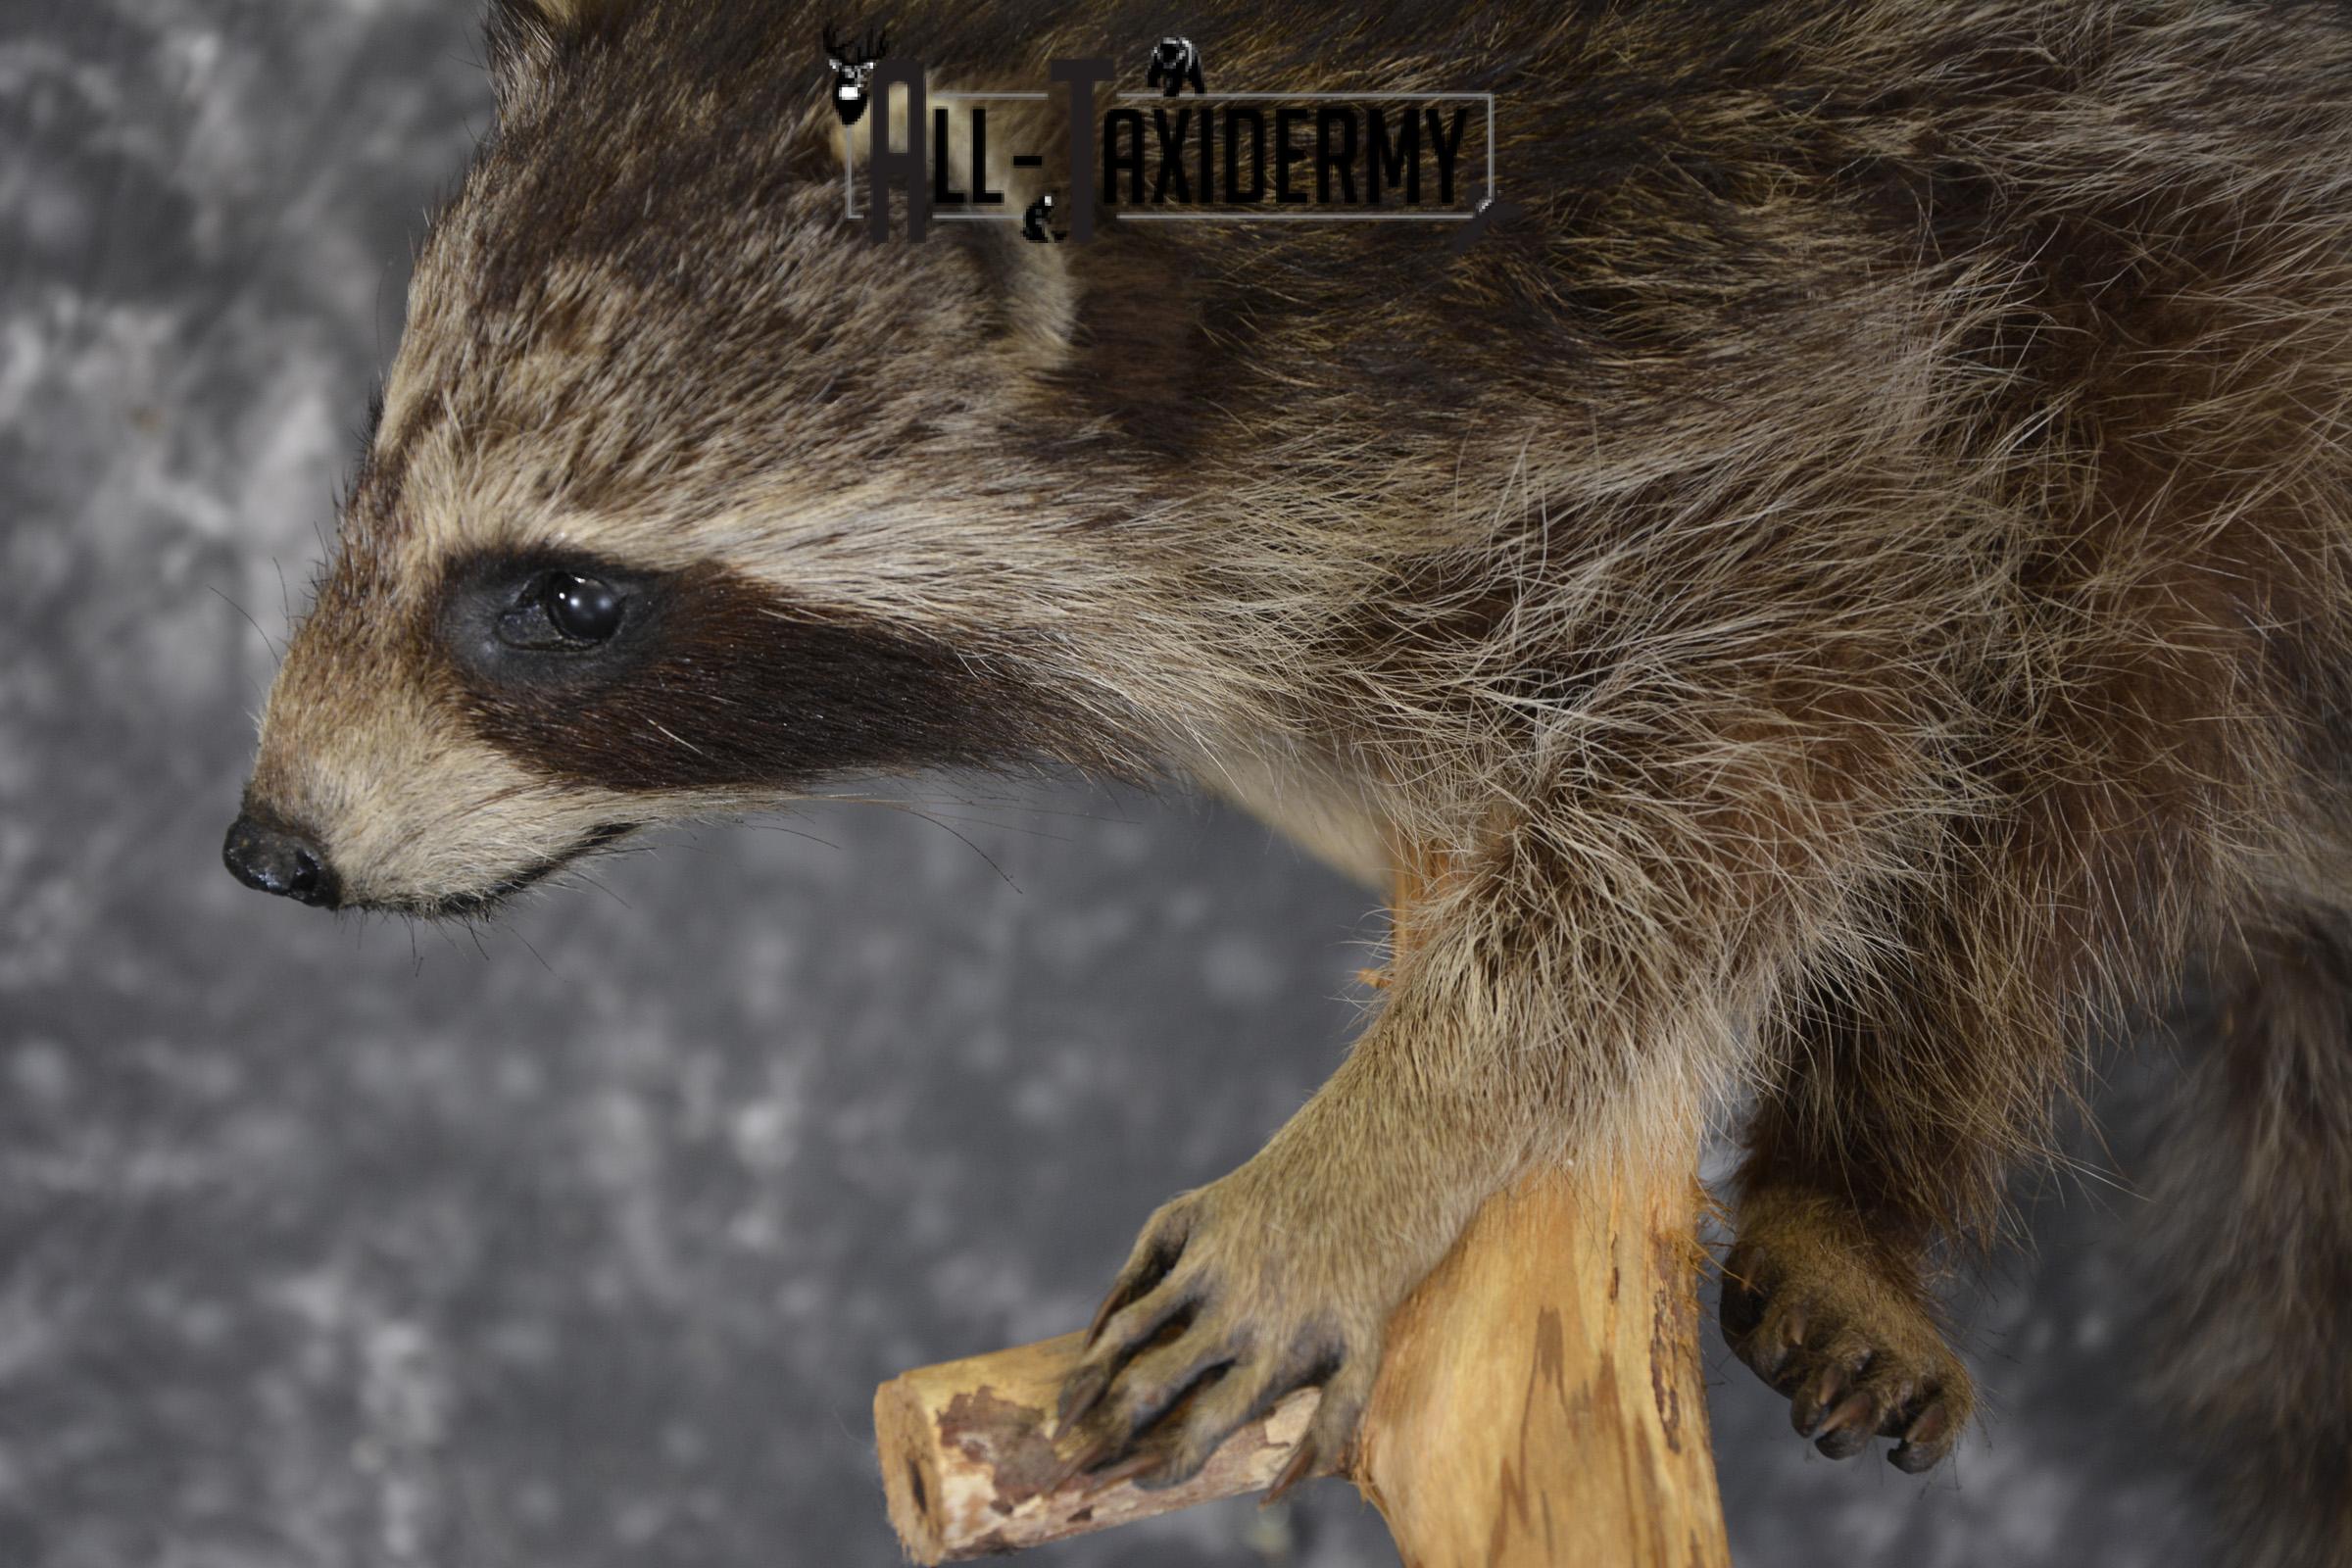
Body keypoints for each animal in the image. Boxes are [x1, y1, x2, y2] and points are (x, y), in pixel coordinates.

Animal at [222, 0, 2352, 1557]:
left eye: (569, 601)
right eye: (372, 462)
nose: (266, 849)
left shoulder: (1749, 283)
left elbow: (1819, 699)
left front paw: (1389, 1133)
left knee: (2111, 672)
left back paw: (1876, 1161)